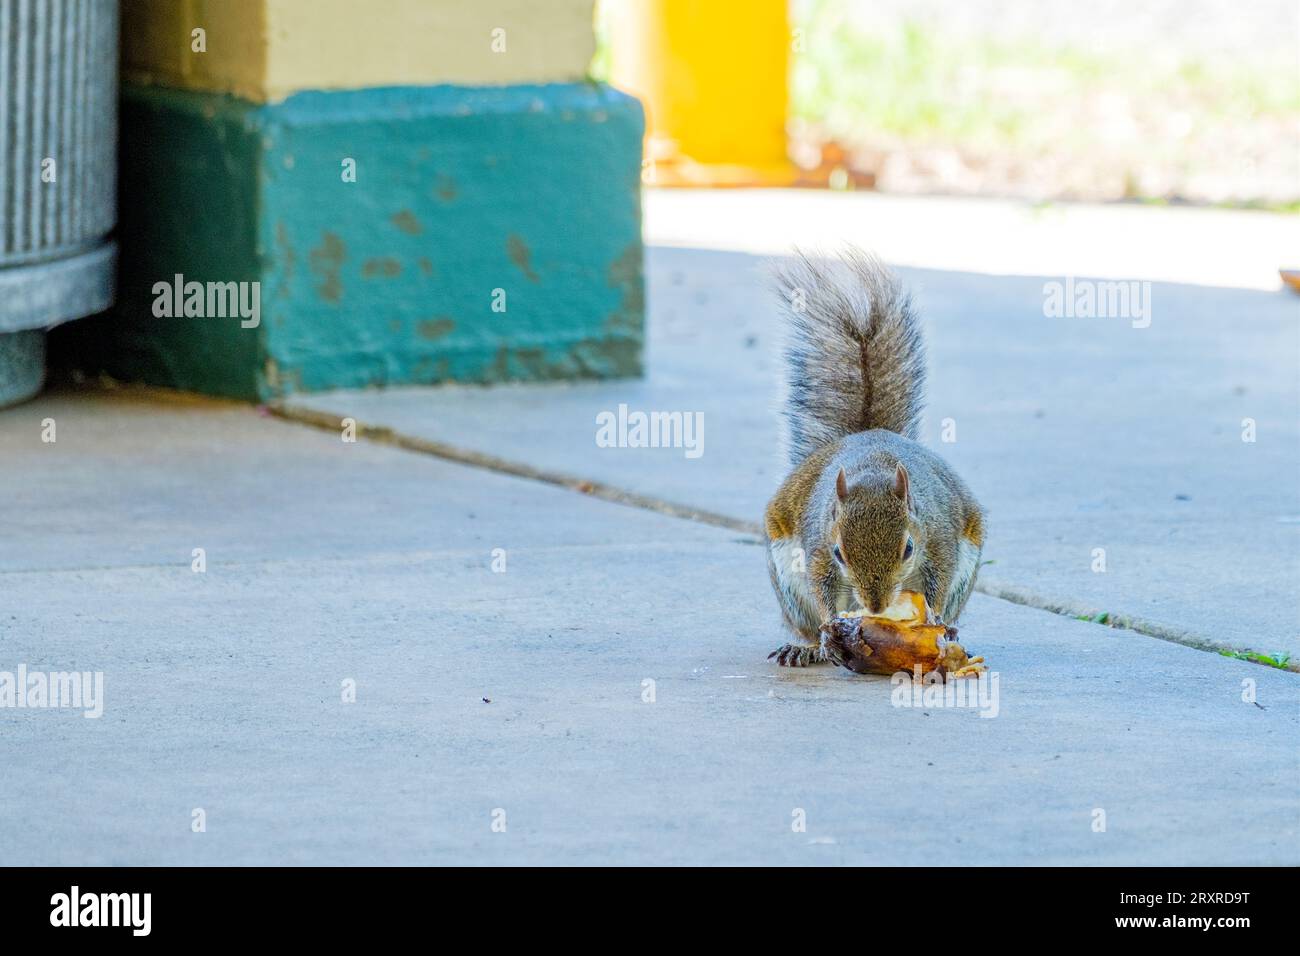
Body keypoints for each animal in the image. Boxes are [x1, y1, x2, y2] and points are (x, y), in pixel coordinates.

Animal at [764, 249, 986, 667]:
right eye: (840, 552)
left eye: (908, 548)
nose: (876, 606)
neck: (875, 471)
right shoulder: (818, 546)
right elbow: (822, 587)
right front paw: (829, 632)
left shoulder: (940, 538)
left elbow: (939, 580)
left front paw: (935, 620)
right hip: (788, 583)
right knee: (805, 622)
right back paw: (806, 647)